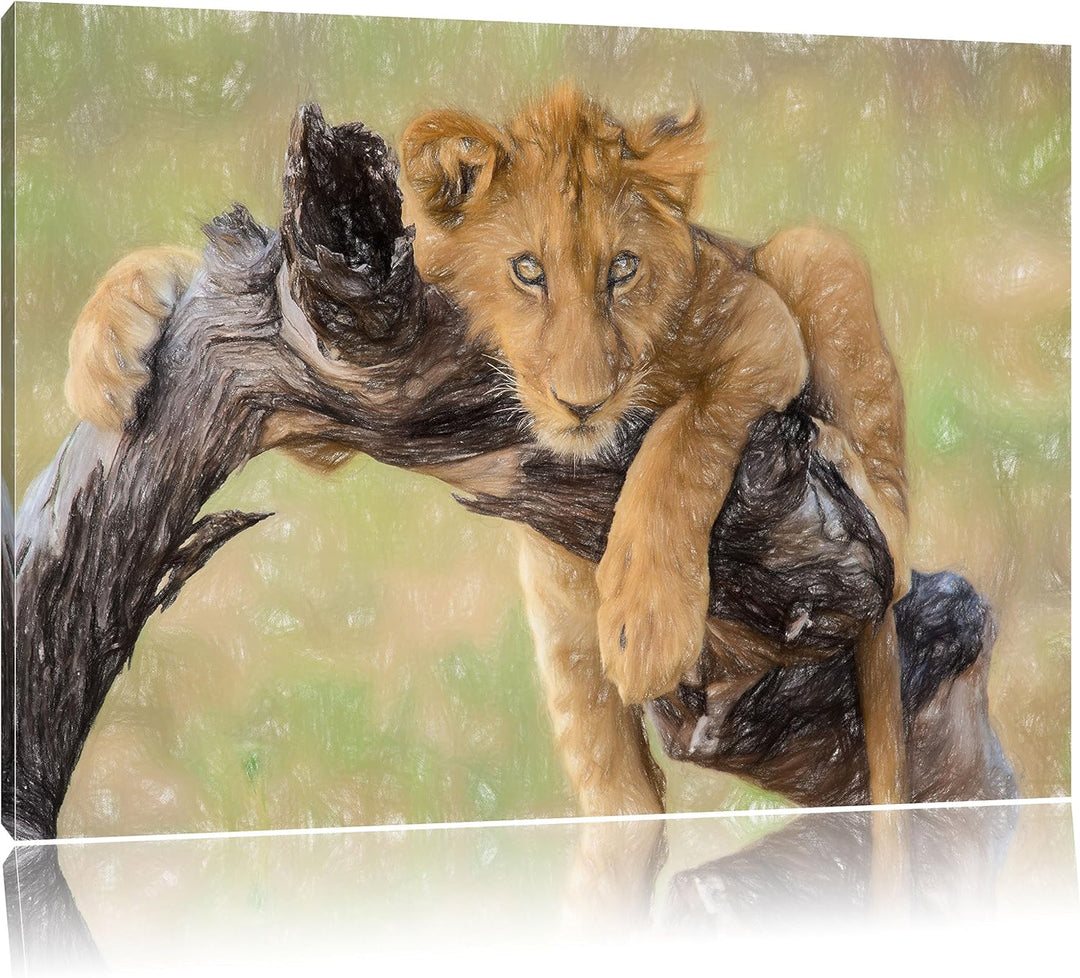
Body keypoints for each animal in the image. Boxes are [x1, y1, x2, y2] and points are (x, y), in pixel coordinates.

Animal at [64, 88, 909, 817]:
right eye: (528, 270)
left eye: (623, 269)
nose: (582, 402)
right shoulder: (330, 380)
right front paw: (104, 355)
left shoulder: (760, 325)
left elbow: (683, 440)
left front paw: (647, 621)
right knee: (620, 800)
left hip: (815, 253)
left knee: (893, 543)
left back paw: (846, 469)